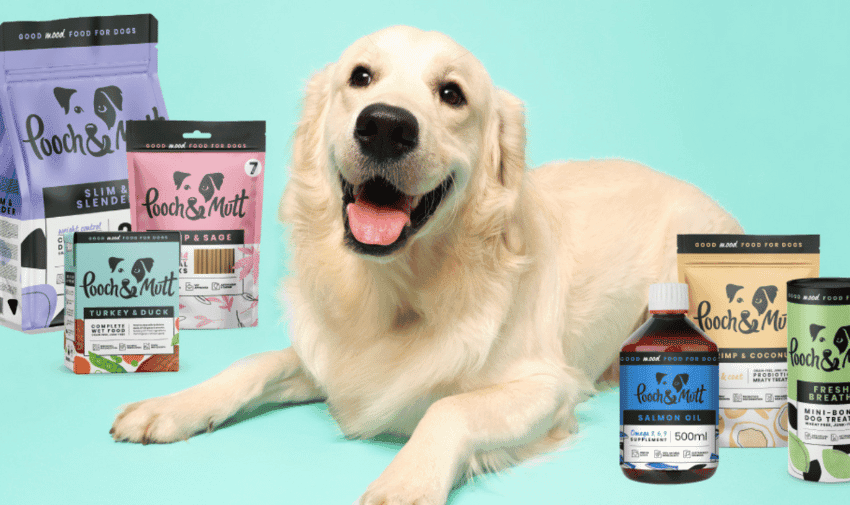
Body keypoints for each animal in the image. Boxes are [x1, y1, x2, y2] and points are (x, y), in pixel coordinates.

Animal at [109, 26, 740, 504]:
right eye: (361, 77)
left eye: (452, 93)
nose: (385, 125)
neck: (396, 290)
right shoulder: (332, 360)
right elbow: (252, 365)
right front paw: (171, 406)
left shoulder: (549, 386)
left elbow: (450, 408)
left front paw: (404, 482)